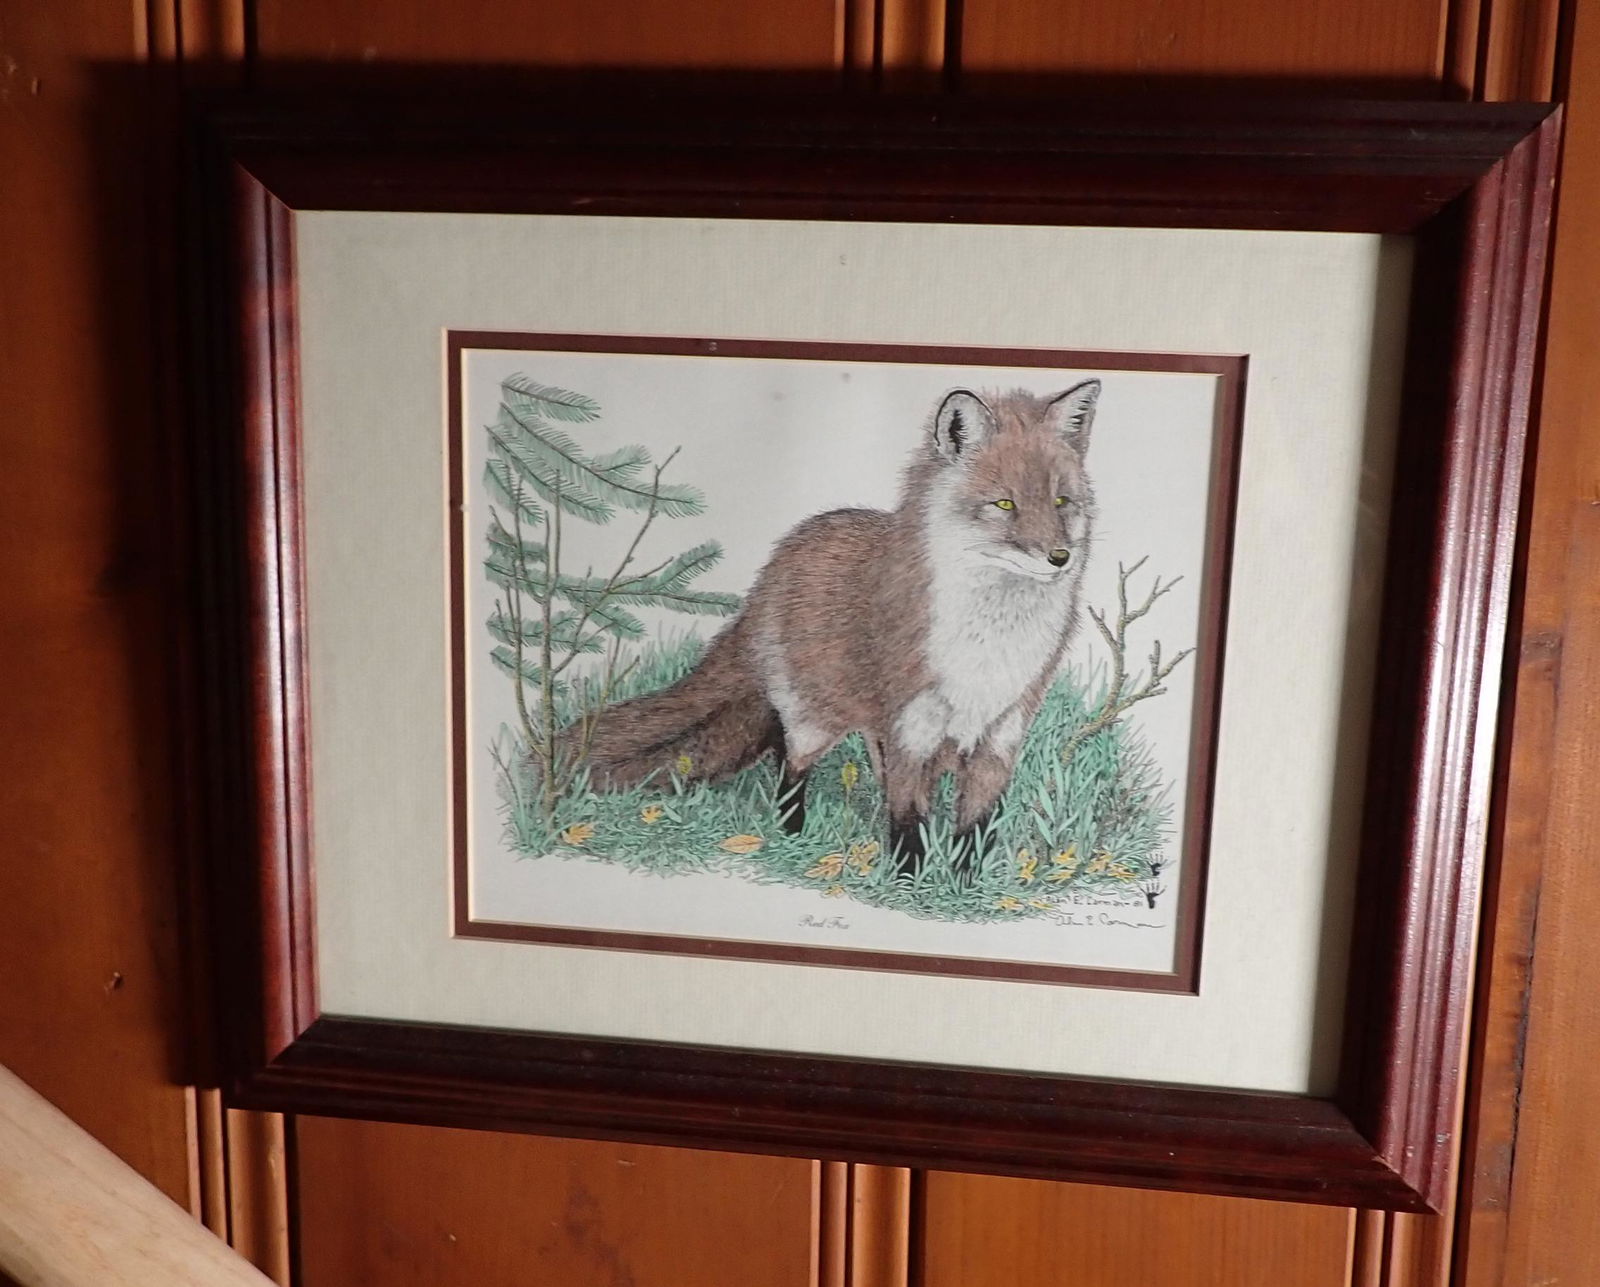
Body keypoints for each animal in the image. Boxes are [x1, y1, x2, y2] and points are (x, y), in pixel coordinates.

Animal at [583, 379, 1101, 866]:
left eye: (1060, 502)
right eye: (1005, 505)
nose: (1059, 558)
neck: (989, 650)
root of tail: (771, 570)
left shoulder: (1001, 733)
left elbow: (974, 828)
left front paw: (961, 885)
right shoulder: (912, 726)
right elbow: (907, 820)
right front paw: (908, 883)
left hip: (868, 729)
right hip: (815, 719)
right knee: (791, 767)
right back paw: (791, 835)